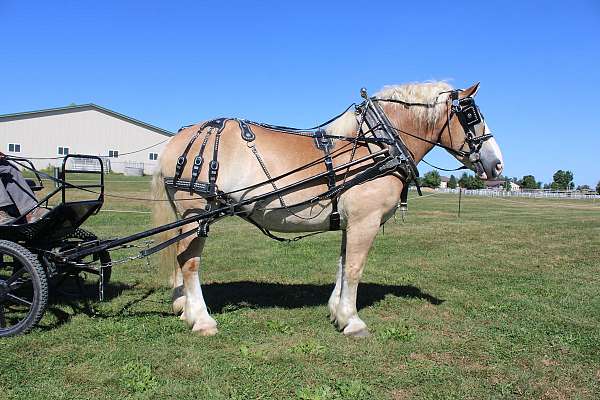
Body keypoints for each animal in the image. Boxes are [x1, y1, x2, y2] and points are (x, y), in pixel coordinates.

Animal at [152, 81, 504, 338]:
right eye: (471, 114)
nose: (497, 164)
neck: (377, 146)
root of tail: (178, 139)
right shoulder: (365, 221)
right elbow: (355, 269)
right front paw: (352, 320)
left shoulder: (351, 223)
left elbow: (343, 265)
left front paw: (337, 311)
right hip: (195, 214)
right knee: (189, 263)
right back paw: (201, 319)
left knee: (181, 260)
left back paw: (183, 307)